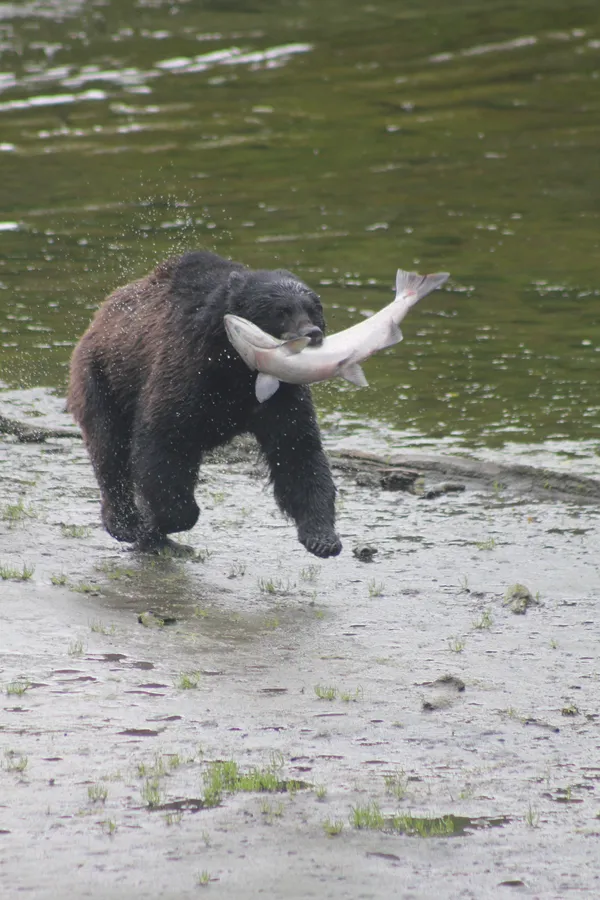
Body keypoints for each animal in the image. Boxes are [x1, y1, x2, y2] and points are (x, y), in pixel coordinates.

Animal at [68, 246, 342, 556]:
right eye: (281, 311)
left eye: (313, 309)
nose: (312, 334)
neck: (237, 366)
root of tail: (100, 314)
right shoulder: (187, 369)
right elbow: (164, 439)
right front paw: (166, 518)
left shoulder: (280, 394)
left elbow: (298, 450)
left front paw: (322, 537)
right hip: (103, 377)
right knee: (109, 447)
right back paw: (125, 523)